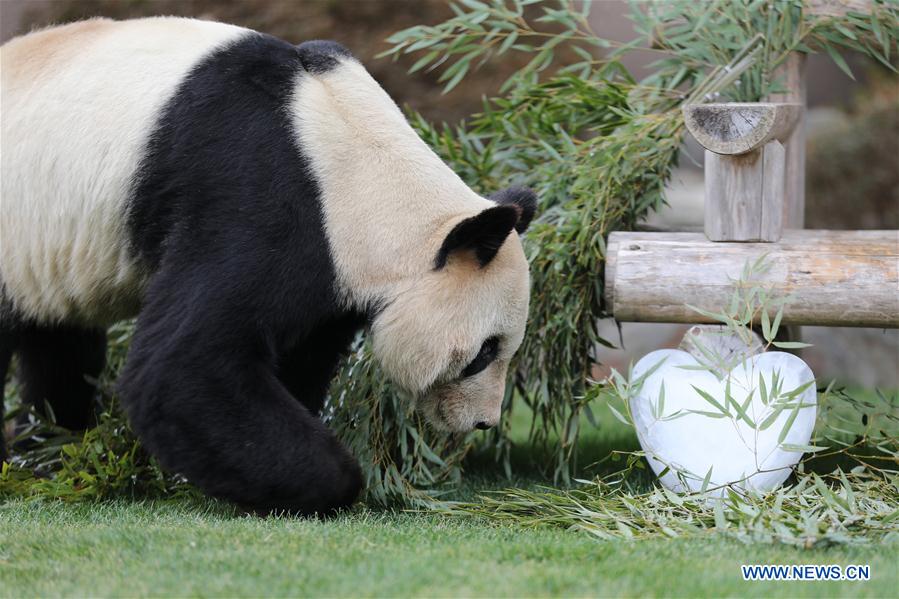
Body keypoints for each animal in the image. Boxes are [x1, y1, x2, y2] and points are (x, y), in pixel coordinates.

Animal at [0, 18, 536, 516]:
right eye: (484, 352)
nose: (484, 421)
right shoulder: (258, 192)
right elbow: (182, 368)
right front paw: (331, 480)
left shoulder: (330, 270)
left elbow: (299, 357)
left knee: (58, 343)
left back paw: (53, 445)